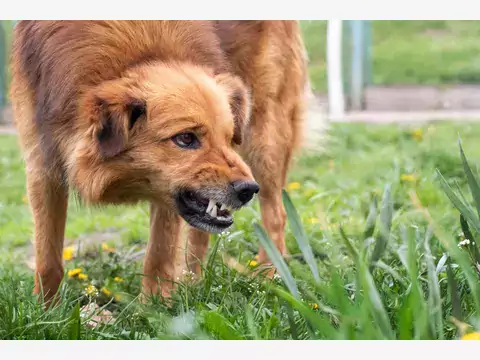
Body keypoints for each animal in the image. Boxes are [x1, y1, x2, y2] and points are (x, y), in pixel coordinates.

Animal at [10, 19, 308, 300]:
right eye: (186, 138)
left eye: (227, 137)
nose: (248, 190)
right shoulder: (42, 165)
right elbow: (47, 257)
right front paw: (46, 310)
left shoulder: (169, 191)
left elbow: (159, 254)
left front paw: (153, 309)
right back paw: (194, 282)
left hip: (265, 137)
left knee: (276, 215)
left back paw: (271, 276)